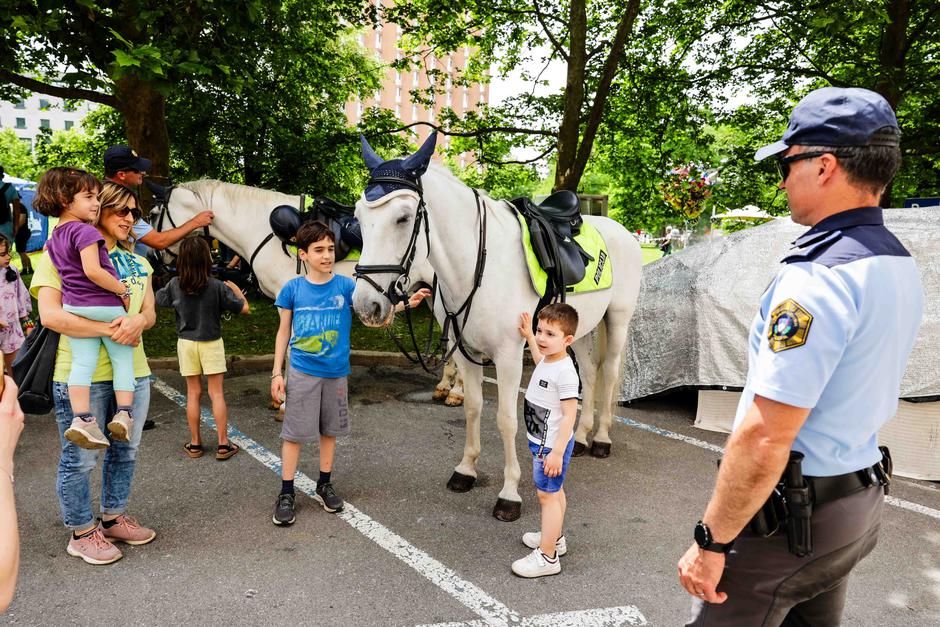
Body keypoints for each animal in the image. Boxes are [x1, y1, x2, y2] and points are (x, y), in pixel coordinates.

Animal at [151, 180, 470, 408]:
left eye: (155, 214)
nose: (155, 257)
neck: (268, 231)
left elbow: (291, 348)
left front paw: (285, 401)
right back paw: (445, 387)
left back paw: (457, 391)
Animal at [354, 135, 648, 524]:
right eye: (358, 217)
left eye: (402, 217)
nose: (365, 305)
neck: (477, 266)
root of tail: (622, 232)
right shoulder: (467, 351)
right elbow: (473, 407)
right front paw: (466, 469)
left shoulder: (508, 356)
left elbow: (507, 419)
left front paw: (509, 494)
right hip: (583, 329)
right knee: (588, 372)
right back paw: (582, 437)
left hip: (617, 319)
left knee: (610, 373)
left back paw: (600, 439)